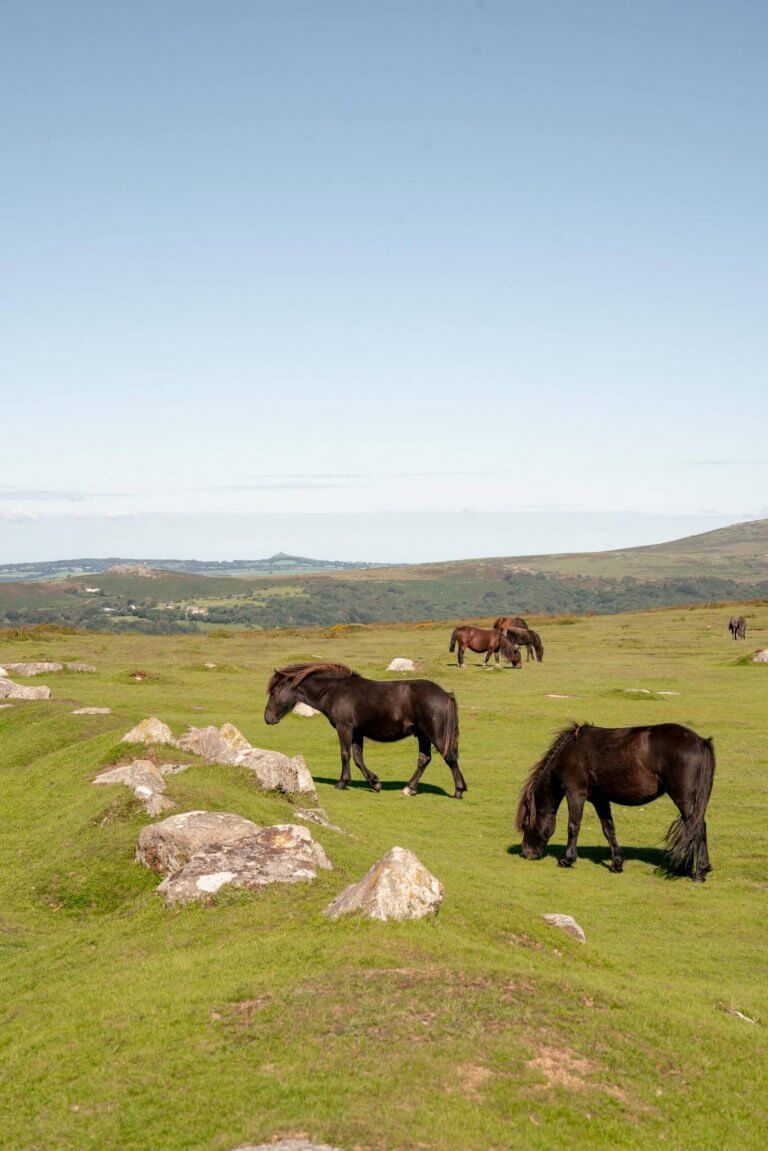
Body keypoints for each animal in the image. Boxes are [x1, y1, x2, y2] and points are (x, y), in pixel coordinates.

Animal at [264, 662, 469, 796]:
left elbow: (345, 754)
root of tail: (445, 695)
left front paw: (342, 782)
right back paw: (409, 788)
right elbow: (358, 758)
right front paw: (375, 783)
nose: (267, 718)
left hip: (436, 735)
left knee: (449, 758)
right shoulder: (357, 732)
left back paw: (458, 790)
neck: (335, 691)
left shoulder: (345, 728)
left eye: (274, 692)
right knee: (425, 759)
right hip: (423, 736)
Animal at [515, 722, 713, 883]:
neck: (568, 753)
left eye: (525, 824)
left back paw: (698, 873)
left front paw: (567, 860)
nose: (525, 853)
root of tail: (701, 741)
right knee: (694, 827)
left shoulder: (575, 793)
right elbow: (608, 829)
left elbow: (573, 826)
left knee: (697, 827)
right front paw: (616, 863)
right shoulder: (599, 799)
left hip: (684, 798)